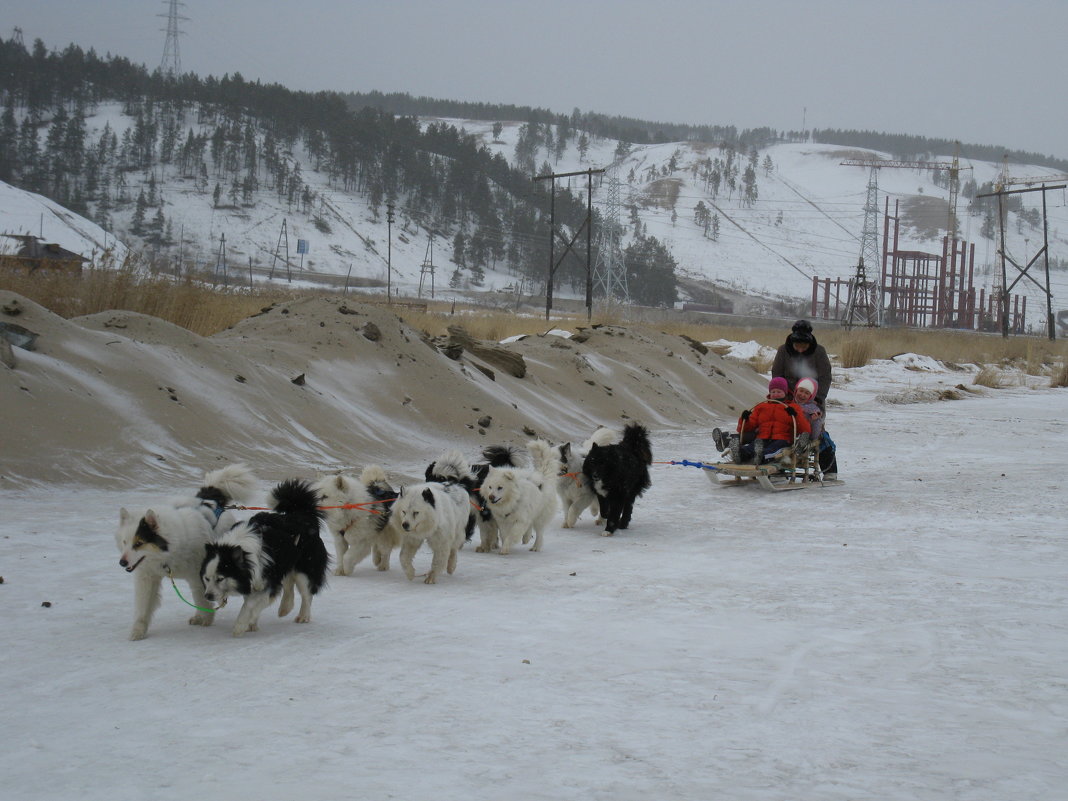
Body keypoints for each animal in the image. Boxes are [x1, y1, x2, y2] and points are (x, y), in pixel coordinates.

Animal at [115, 463, 258, 640]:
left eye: (139, 543)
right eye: (124, 542)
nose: (122, 562)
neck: (170, 551)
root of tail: (210, 500)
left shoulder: (198, 575)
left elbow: (201, 598)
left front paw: (206, 617)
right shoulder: (147, 577)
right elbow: (144, 604)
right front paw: (138, 631)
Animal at [200, 476, 328, 640]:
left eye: (220, 578)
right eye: (207, 578)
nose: (208, 596)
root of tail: (303, 515)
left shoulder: (266, 577)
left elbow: (250, 604)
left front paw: (240, 626)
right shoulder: (257, 578)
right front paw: (251, 623)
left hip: (305, 567)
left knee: (307, 593)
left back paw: (303, 616)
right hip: (286, 563)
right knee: (288, 584)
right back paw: (285, 608)